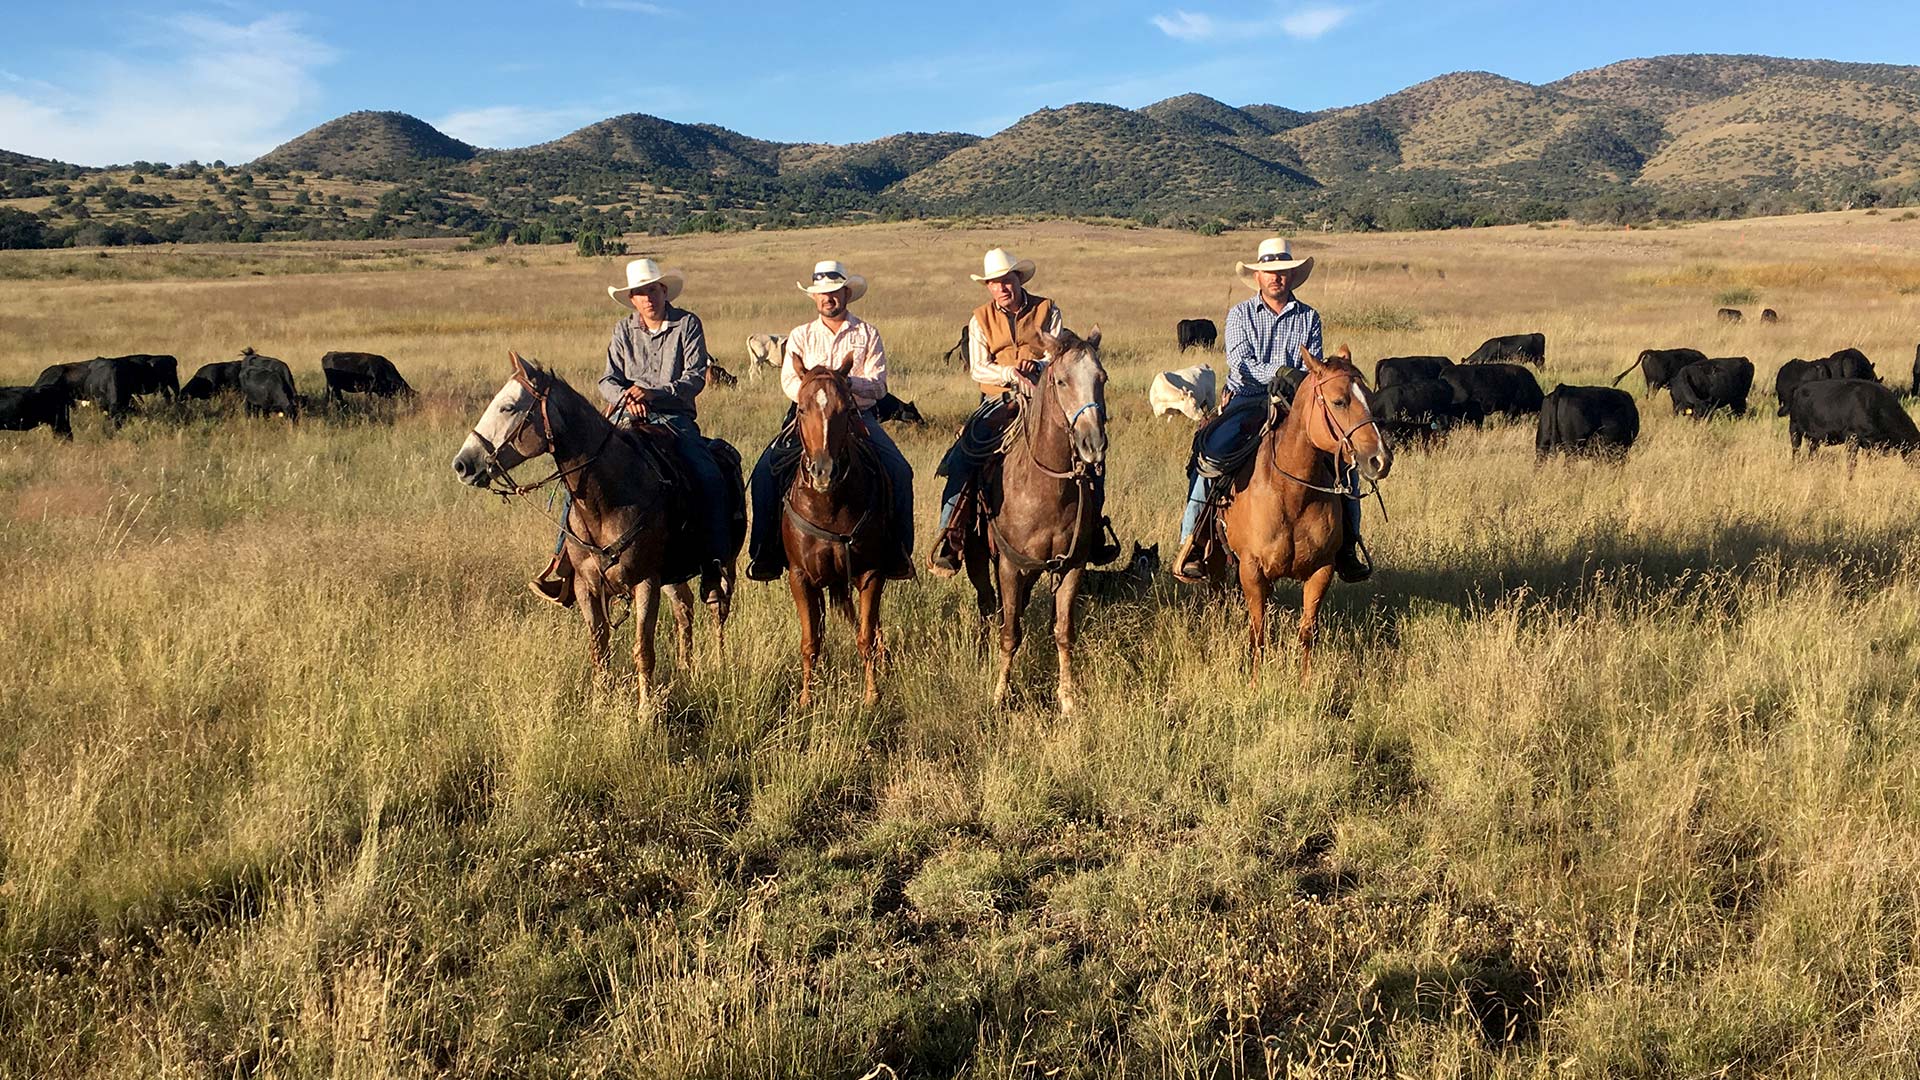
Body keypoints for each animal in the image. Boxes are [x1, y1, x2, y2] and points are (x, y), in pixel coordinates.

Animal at [453, 351, 737, 699]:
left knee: (717, 610)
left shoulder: (646, 581)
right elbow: (599, 650)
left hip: (723, 566)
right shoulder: (586, 586)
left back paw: (720, 666)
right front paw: (600, 703)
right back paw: (687, 668)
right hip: (674, 574)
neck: (606, 501)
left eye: (507, 407)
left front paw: (646, 710)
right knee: (684, 610)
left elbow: (644, 651)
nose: (462, 464)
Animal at [779, 353, 906, 703]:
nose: (824, 472)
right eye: (801, 408)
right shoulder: (800, 578)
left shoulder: (871, 574)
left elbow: (865, 636)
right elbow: (810, 641)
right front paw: (806, 698)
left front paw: (872, 694)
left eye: (847, 409)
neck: (829, 505)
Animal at [960, 328, 1113, 714]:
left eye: (1101, 378)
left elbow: (1063, 632)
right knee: (990, 606)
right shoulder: (1010, 567)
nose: (1093, 445)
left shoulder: (1071, 566)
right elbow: (1010, 632)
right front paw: (1000, 694)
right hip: (979, 560)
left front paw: (1067, 698)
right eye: (1061, 381)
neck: (1044, 489)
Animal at [1213, 343, 1397, 676]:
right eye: (1339, 401)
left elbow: (1307, 632)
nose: (1380, 459)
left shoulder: (1320, 571)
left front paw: (1305, 682)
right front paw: (1255, 682)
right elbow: (1259, 634)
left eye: (1369, 397)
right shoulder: (1252, 570)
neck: (1291, 496)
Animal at [1781, 376, 1920, 455]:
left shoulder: (1872, 444)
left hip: (1814, 439)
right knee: (1796, 452)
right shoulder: (1852, 438)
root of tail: (1800, 387)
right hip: (1794, 430)